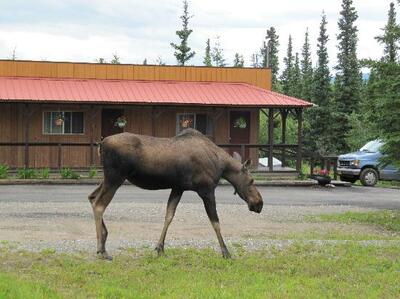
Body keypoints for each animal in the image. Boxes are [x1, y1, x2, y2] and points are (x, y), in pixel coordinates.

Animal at [88, 129, 262, 260]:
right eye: (251, 180)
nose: (259, 203)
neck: (221, 165)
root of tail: (101, 144)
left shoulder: (178, 188)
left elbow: (169, 215)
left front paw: (160, 248)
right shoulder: (206, 190)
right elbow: (215, 222)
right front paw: (226, 252)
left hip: (109, 178)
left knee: (91, 197)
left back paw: (104, 241)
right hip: (115, 177)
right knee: (99, 205)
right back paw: (101, 249)